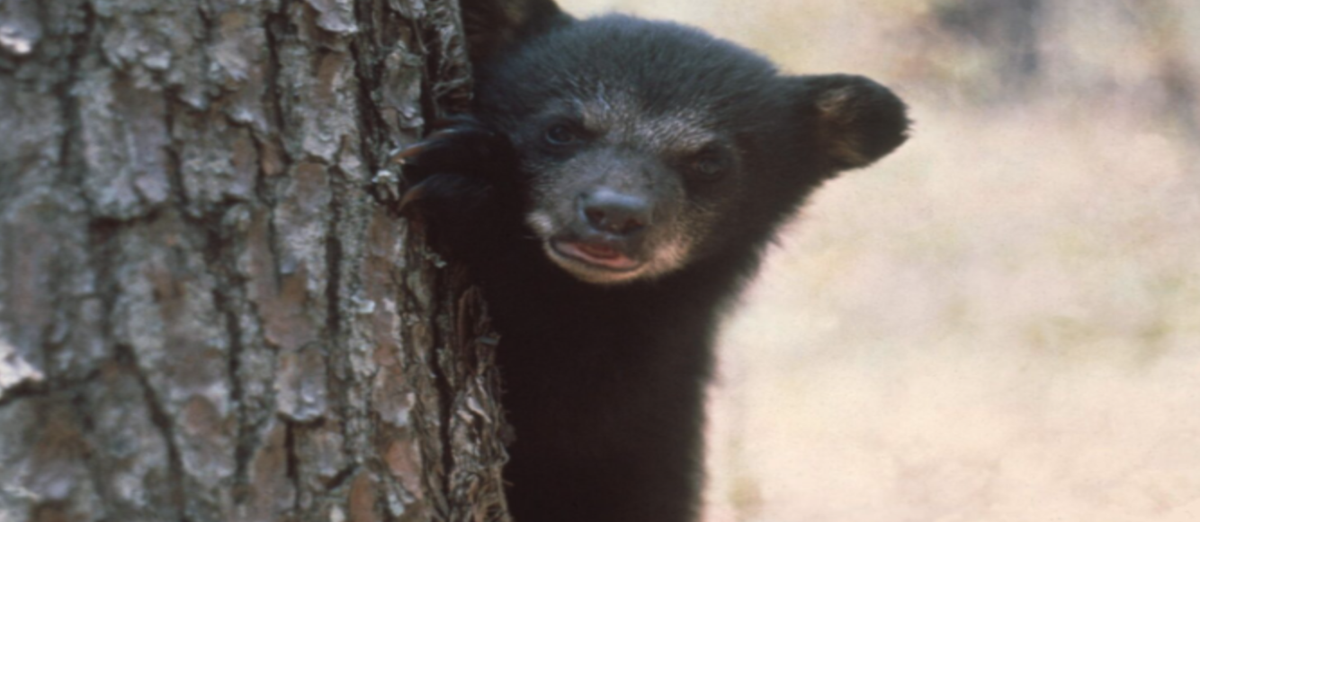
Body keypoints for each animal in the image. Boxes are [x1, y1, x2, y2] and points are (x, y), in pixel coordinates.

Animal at [398, 0, 910, 522]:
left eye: (710, 163)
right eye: (560, 131)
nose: (614, 214)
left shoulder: (651, 375)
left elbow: (569, 409)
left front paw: (474, 187)